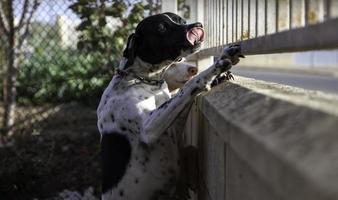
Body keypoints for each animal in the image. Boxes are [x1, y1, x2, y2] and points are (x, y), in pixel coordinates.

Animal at [97, 12, 243, 200]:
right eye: (162, 27)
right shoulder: (149, 129)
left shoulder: (171, 128)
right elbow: (189, 86)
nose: (198, 25)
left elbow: (183, 95)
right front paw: (215, 69)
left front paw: (223, 64)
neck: (144, 80)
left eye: (182, 20)